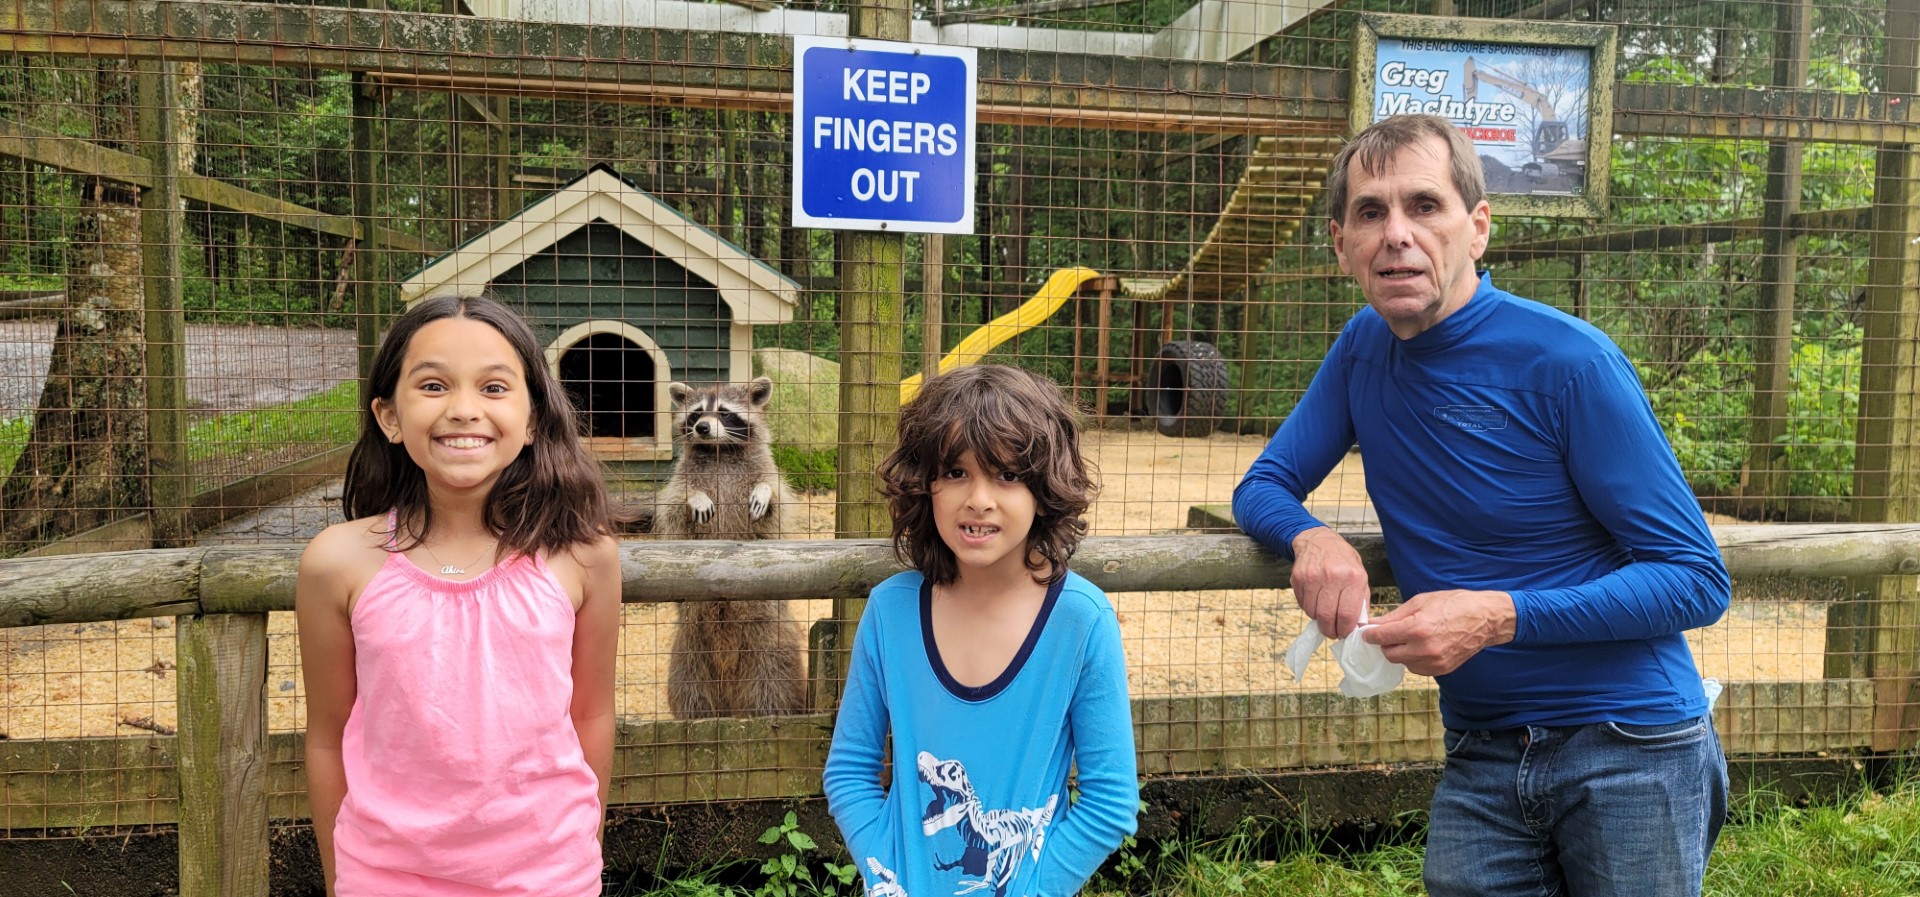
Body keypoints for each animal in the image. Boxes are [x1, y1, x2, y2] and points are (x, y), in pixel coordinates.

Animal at [660, 378, 810, 722]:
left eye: (724, 412)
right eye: (697, 413)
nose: (702, 428)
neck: (720, 450)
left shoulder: (766, 470)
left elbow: (776, 497)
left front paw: (765, 492)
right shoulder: (682, 478)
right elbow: (676, 504)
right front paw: (694, 498)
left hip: (770, 638)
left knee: (772, 680)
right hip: (691, 646)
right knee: (690, 686)